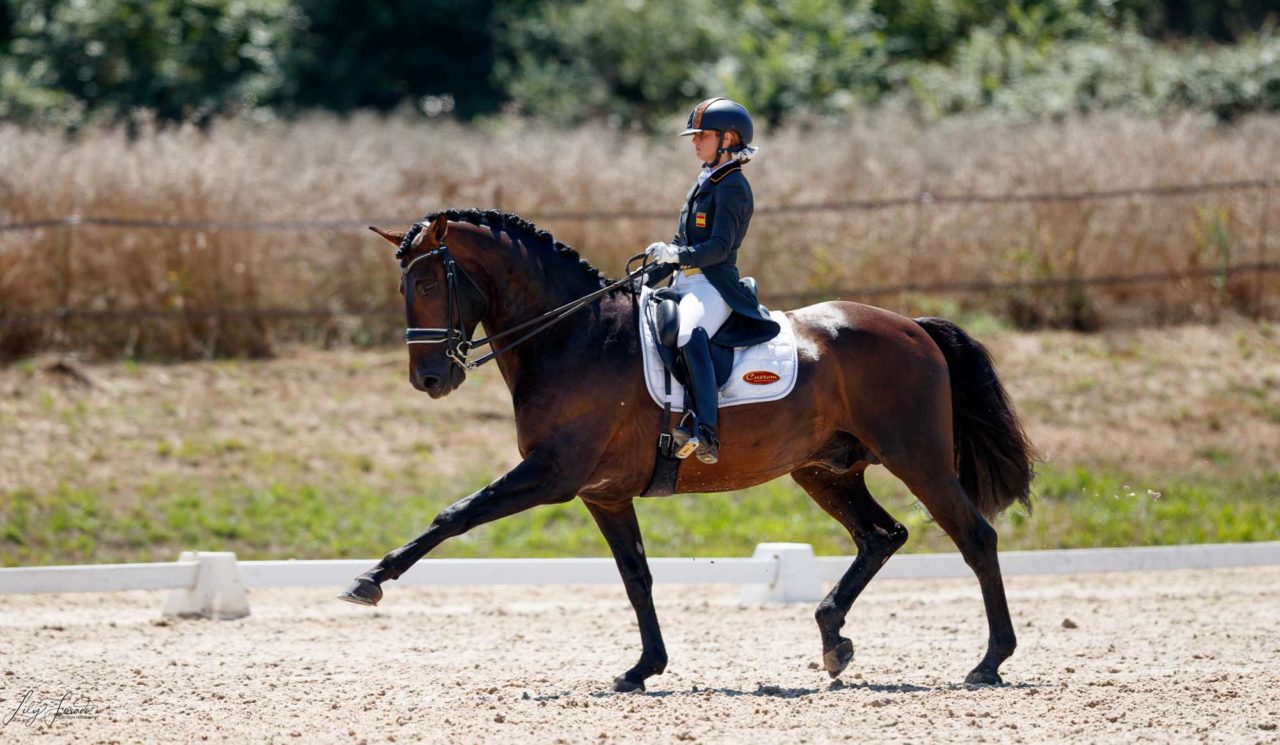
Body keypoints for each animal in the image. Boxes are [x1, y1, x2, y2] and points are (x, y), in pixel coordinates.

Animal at [343, 208, 1039, 696]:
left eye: (428, 279)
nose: (429, 379)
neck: (573, 337)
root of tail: (913, 325)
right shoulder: (603, 493)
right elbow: (637, 577)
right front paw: (643, 668)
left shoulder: (552, 474)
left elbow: (455, 513)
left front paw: (369, 580)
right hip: (824, 471)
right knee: (881, 535)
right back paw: (833, 639)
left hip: (917, 458)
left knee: (974, 537)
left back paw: (989, 661)